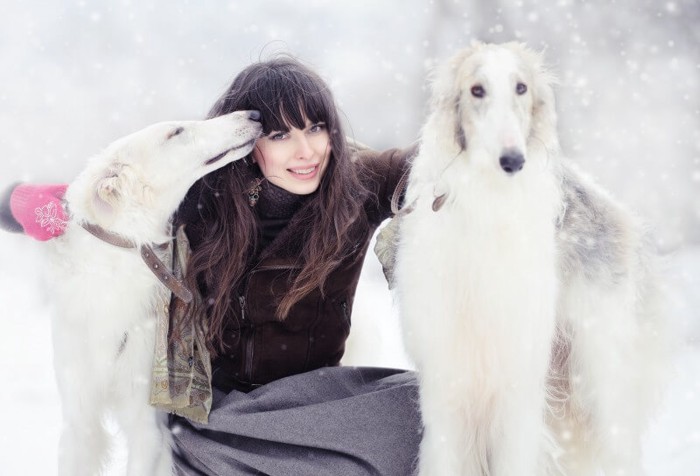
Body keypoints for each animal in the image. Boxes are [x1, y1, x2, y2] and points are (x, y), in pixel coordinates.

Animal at [396, 42, 668, 474]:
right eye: (476, 90)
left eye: (521, 87)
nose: (513, 160)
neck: (489, 203)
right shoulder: (447, 382)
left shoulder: (518, 384)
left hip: (602, 372)